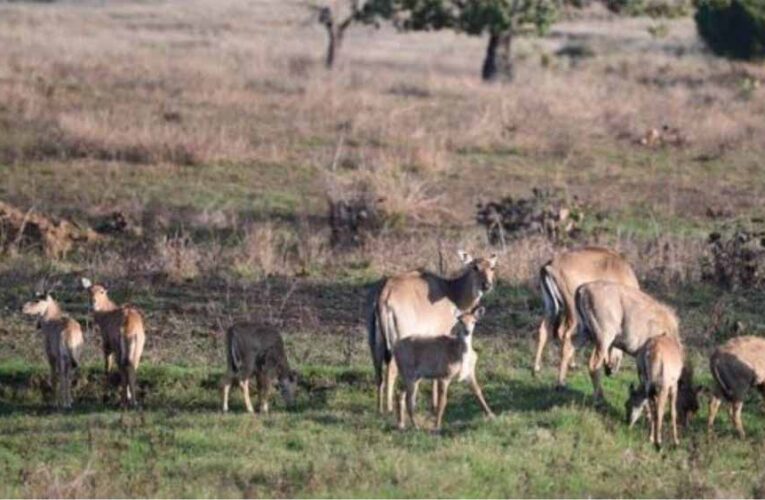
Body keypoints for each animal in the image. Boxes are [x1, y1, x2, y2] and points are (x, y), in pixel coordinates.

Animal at [81, 276, 145, 408]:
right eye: (89, 291)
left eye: (102, 291)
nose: (93, 302)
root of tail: (129, 327)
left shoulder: (106, 344)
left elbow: (107, 367)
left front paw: (105, 395)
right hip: (138, 348)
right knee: (132, 367)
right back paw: (134, 402)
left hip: (118, 348)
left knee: (123, 368)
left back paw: (123, 402)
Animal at [368, 252, 498, 412]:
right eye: (475, 267)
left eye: (492, 267)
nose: (486, 285)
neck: (451, 292)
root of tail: (384, 296)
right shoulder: (441, 332)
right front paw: (435, 404)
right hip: (397, 342)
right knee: (391, 370)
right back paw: (390, 409)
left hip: (375, 344)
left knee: (378, 372)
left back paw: (379, 409)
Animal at [532, 246, 640, 386]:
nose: (610, 371)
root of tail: (550, 265)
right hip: (572, 310)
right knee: (566, 334)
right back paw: (565, 373)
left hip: (551, 307)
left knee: (544, 331)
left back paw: (536, 369)